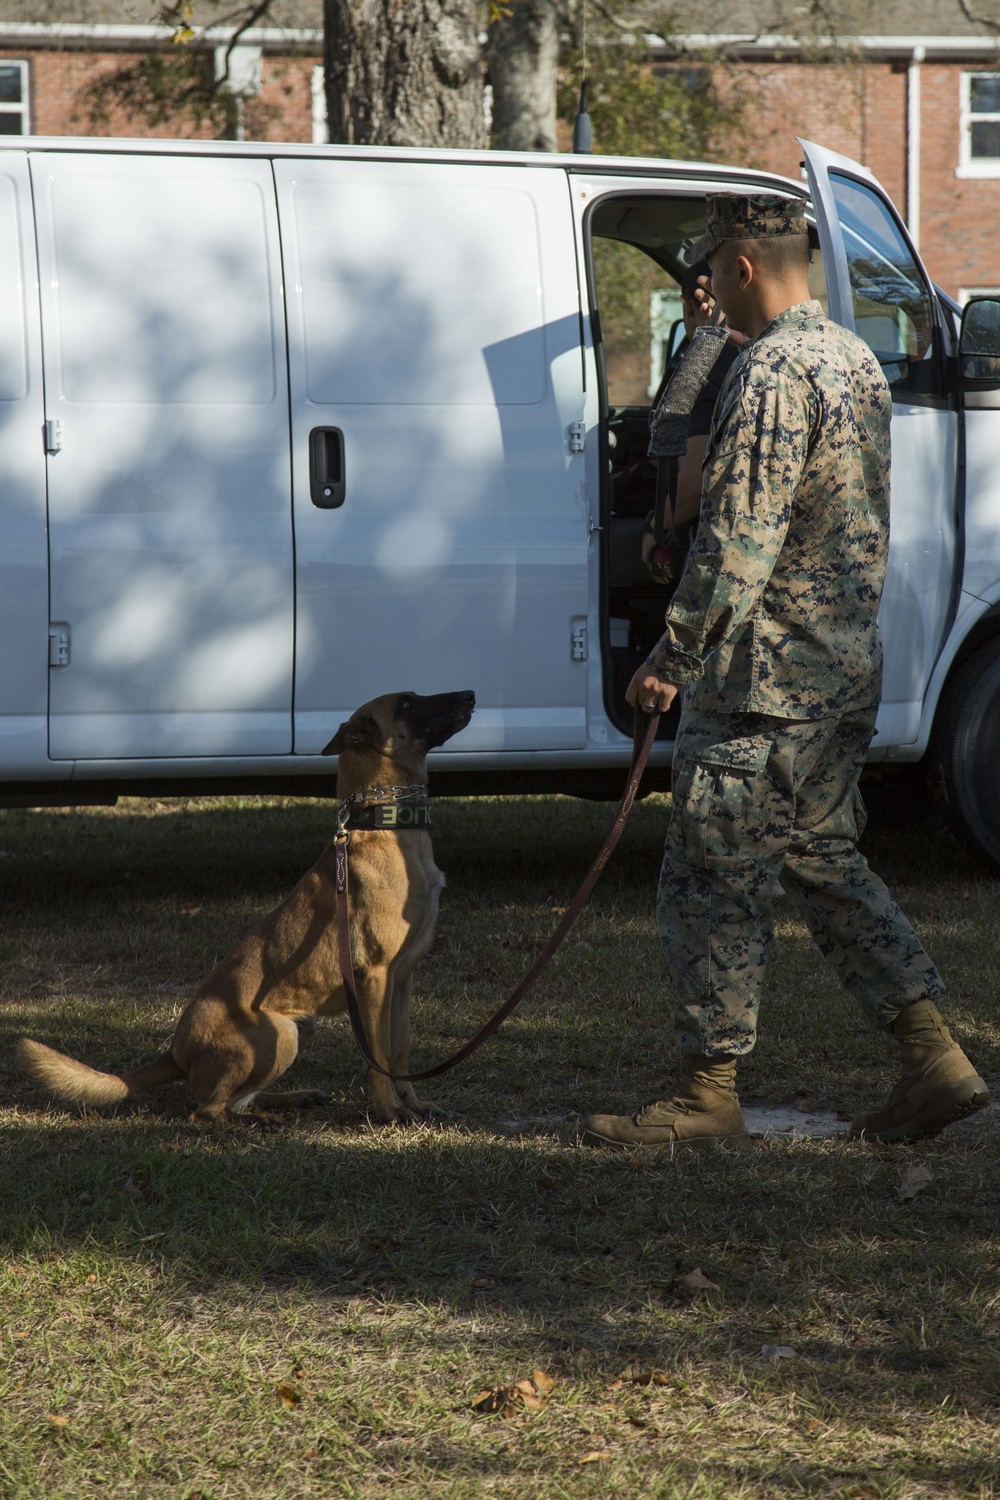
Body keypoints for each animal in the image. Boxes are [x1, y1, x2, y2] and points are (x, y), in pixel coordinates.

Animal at [17, 690, 476, 1128]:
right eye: (407, 703)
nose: (471, 694)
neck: (383, 824)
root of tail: (175, 1052)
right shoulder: (375, 979)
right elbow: (378, 1062)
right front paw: (388, 1115)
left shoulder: (402, 979)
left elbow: (400, 1054)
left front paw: (413, 1105)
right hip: (278, 1032)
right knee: (207, 1111)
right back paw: (258, 1120)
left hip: (300, 1027)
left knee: (238, 1099)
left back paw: (291, 1100)